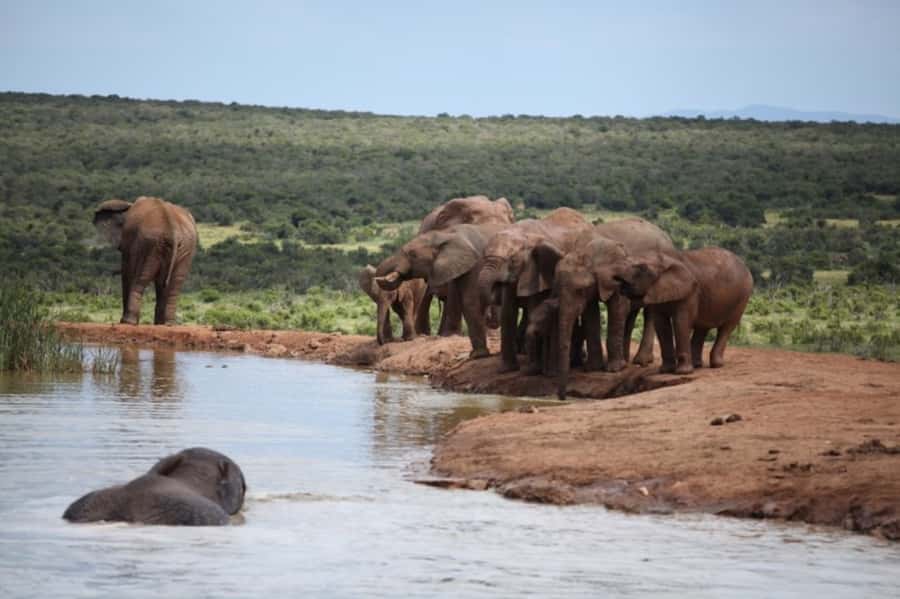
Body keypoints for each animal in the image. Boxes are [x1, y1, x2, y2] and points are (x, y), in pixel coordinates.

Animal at [93, 196, 198, 325]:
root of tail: (172, 229)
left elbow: (127, 272)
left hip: (149, 244)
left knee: (141, 279)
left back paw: (128, 322)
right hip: (185, 246)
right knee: (174, 284)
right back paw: (168, 324)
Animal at [375, 222, 510, 358]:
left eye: (412, 254)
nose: (384, 342)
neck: (446, 234)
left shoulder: (476, 263)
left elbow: (470, 300)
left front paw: (477, 355)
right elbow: (457, 297)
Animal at [477, 207, 592, 373]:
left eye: (512, 260)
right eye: (484, 256)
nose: (496, 284)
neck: (521, 234)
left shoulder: (535, 271)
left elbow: (532, 308)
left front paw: (533, 369)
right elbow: (508, 313)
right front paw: (506, 369)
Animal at [539, 218, 676, 400]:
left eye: (580, 291)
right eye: (556, 288)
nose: (563, 397)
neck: (585, 251)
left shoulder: (618, 276)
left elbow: (618, 308)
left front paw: (614, 369)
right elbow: (591, 313)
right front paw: (593, 368)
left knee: (650, 312)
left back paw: (640, 361)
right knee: (632, 314)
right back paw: (626, 359)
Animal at [612, 247, 753, 374]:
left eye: (642, 268)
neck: (665, 259)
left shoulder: (690, 291)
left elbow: (681, 321)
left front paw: (682, 372)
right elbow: (661, 324)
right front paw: (665, 371)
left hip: (743, 296)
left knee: (727, 327)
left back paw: (716, 365)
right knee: (703, 327)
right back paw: (697, 365)